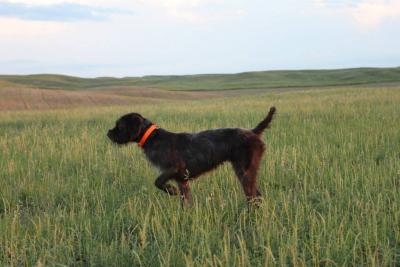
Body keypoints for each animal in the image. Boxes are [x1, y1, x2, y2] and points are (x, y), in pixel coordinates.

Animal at [106, 107, 276, 207]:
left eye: (119, 126)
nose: (108, 133)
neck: (153, 138)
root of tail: (253, 132)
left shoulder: (175, 168)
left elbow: (158, 181)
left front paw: (171, 191)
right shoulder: (183, 181)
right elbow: (185, 201)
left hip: (245, 171)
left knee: (254, 196)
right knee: (256, 195)